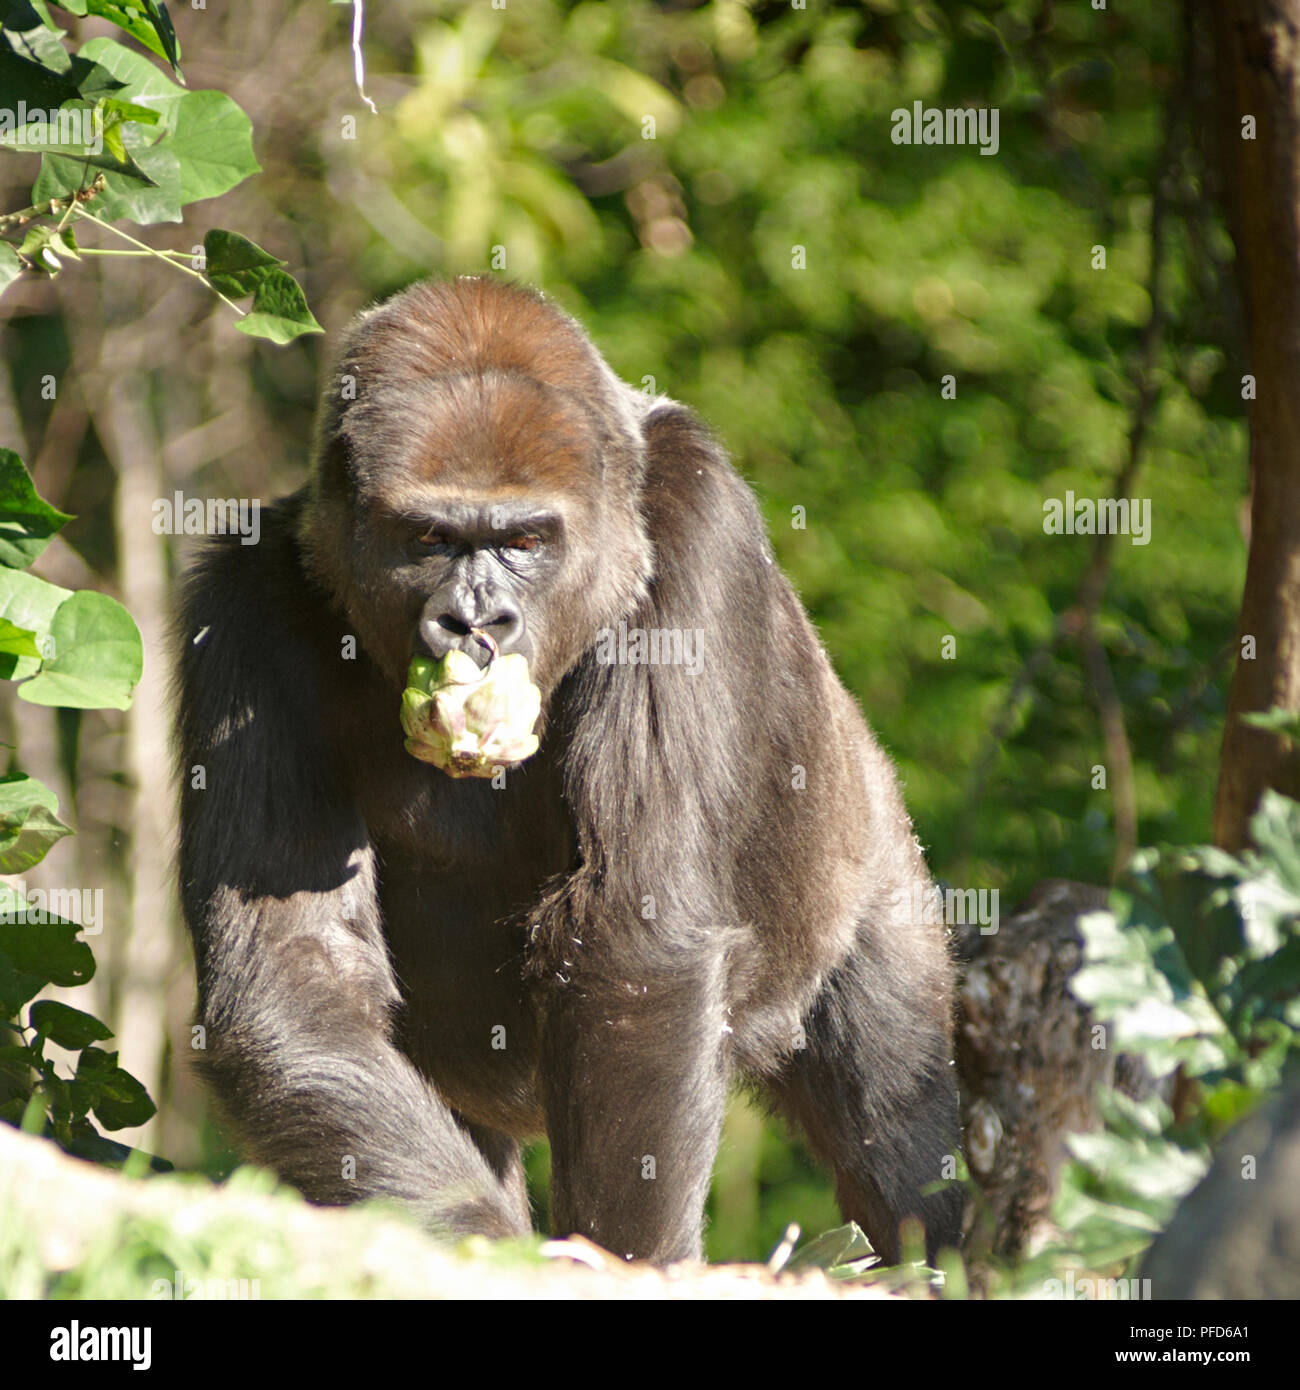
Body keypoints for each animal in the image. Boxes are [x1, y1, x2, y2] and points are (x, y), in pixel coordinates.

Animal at [173, 276, 962, 1267]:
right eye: (429, 539)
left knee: (904, 1119)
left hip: (873, 857)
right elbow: (297, 978)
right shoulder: (240, 607)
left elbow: (636, 944)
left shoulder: (695, 520)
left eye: (524, 542)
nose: (475, 623)